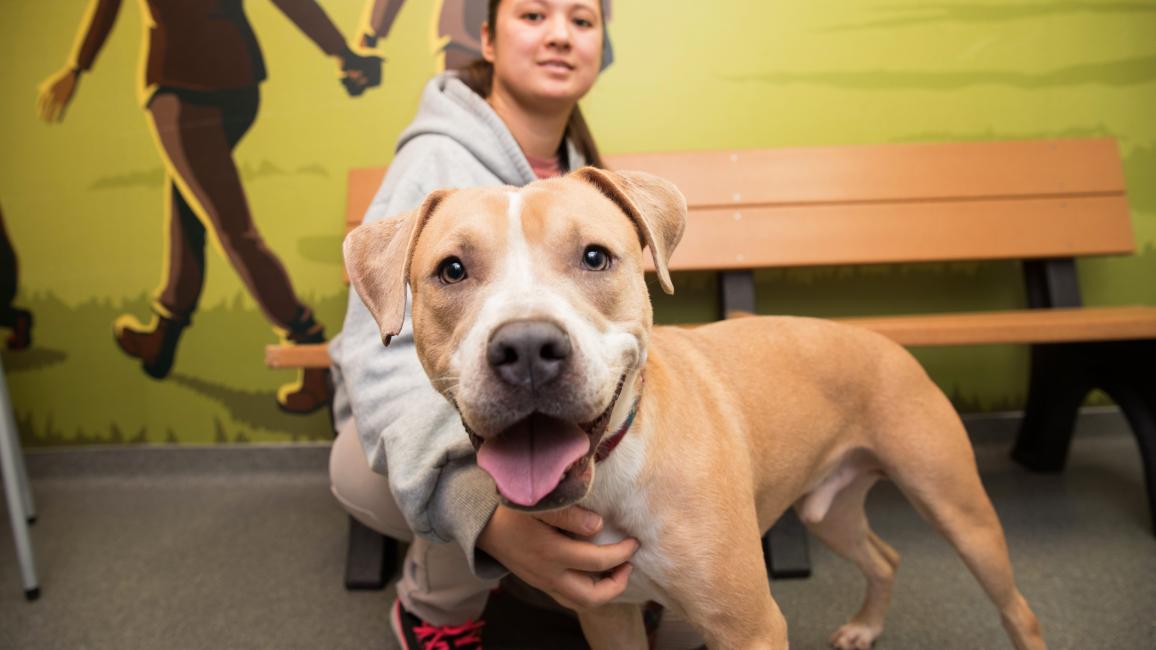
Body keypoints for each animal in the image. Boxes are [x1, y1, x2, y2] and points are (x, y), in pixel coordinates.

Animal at [344, 167, 1049, 647]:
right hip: (829, 509)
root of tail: (882, 340)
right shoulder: (609, 617)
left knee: (1018, 607)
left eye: (595, 256)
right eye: (451, 270)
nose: (526, 349)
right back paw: (865, 626)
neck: (618, 466)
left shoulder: (751, 627)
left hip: (958, 508)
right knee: (885, 557)